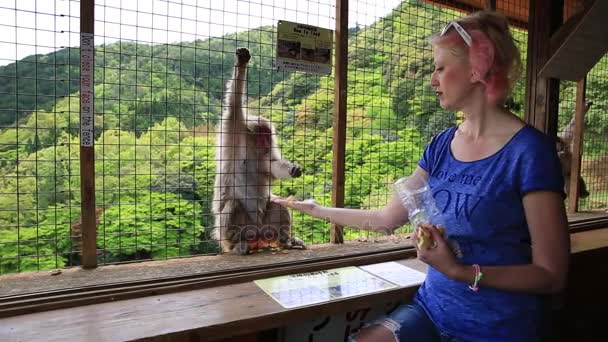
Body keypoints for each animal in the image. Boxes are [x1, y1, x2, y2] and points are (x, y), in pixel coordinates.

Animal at [213, 47, 306, 254]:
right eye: (262, 135)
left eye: (268, 136)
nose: (267, 143)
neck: (251, 149)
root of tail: (258, 236)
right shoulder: (234, 130)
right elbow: (234, 102)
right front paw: (241, 63)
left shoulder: (263, 156)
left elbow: (271, 166)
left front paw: (293, 169)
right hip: (239, 231)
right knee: (233, 205)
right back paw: (238, 245)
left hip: (266, 228)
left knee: (277, 204)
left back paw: (285, 240)